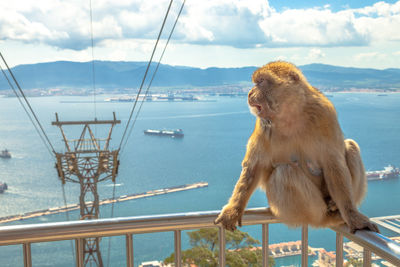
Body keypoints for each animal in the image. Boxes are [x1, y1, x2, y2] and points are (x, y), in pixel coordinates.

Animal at [214, 61, 380, 234]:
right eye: (256, 82)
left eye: (261, 82)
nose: (249, 93)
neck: (290, 114)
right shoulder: (264, 125)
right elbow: (254, 166)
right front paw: (233, 211)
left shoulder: (325, 114)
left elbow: (333, 164)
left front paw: (352, 215)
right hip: (304, 210)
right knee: (285, 172)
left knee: (351, 146)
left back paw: (336, 206)